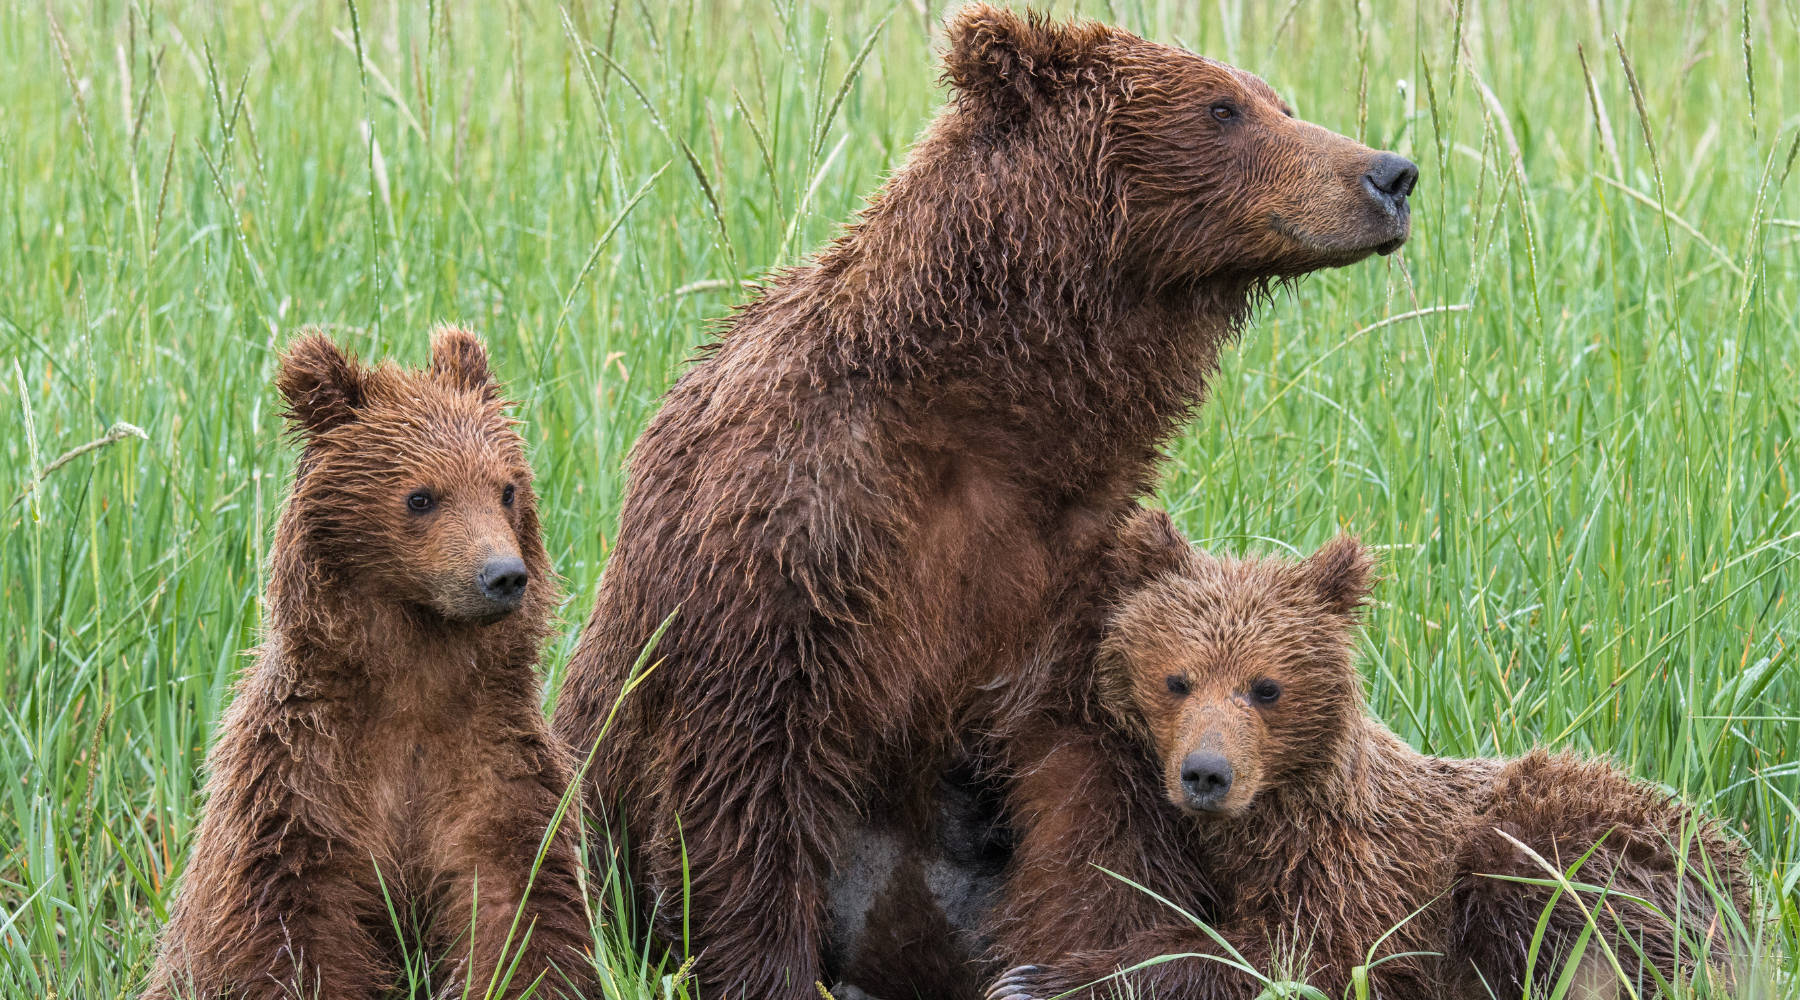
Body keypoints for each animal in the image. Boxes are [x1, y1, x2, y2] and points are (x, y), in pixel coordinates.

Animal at [554, 3, 1411, 992]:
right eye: (1222, 108)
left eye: (1280, 101)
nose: (1391, 173)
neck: (987, 414)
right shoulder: (792, 529)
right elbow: (744, 778)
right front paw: (766, 966)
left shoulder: (1062, 571)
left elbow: (1086, 795)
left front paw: (1079, 959)